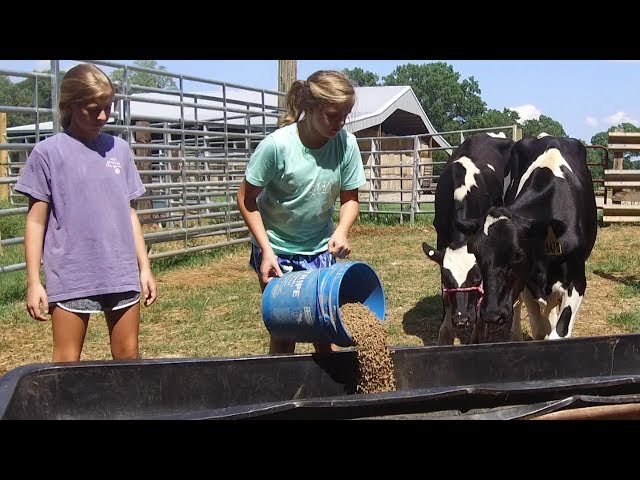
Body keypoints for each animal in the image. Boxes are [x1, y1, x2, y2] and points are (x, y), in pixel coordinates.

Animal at [422, 132, 516, 344]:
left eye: (477, 277)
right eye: (447, 279)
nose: (462, 319)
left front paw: (479, 331)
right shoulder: (441, 236)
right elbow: (445, 298)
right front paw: (446, 333)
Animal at [458, 133, 596, 340]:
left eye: (518, 255)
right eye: (477, 255)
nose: (491, 313)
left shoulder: (577, 280)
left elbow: (558, 333)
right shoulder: (528, 282)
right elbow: (539, 330)